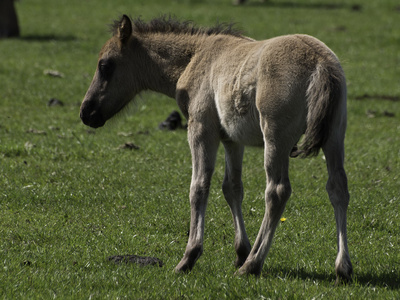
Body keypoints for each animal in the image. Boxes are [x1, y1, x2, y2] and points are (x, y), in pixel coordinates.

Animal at [79, 14, 352, 282]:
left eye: (105, 65)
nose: (86, 112)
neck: (194, 58)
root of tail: (321, 64)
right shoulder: (232, 138)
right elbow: (232, 188)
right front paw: (241, 251)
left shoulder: (201, 128)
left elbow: (199, 188)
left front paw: (189, 257)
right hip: (334, 135)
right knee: (337, 187)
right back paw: (342, 268)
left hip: (276, 138)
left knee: (276, 191)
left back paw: (252, 265)